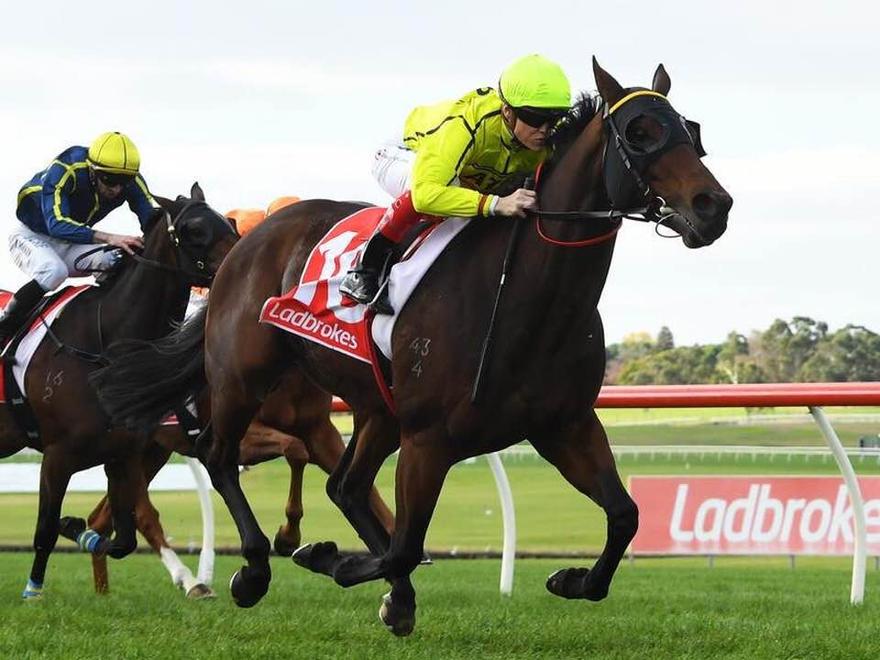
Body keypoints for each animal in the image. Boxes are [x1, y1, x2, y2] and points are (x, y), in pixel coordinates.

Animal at [0, 183, 238, 599]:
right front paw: (33, 590)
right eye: (194, 229)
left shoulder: (124, 454)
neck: (104, 345)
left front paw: (79, 530)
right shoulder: (57, 455)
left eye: (229, 221)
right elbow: (45, 529)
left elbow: (123, 537)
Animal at [85, 369, 393, 598]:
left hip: (152, 451)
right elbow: (295, 450)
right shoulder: (233, 437)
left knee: (103, 516)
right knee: (140, 513)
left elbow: (372, 498)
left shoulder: (320, 432)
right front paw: (287, 537)